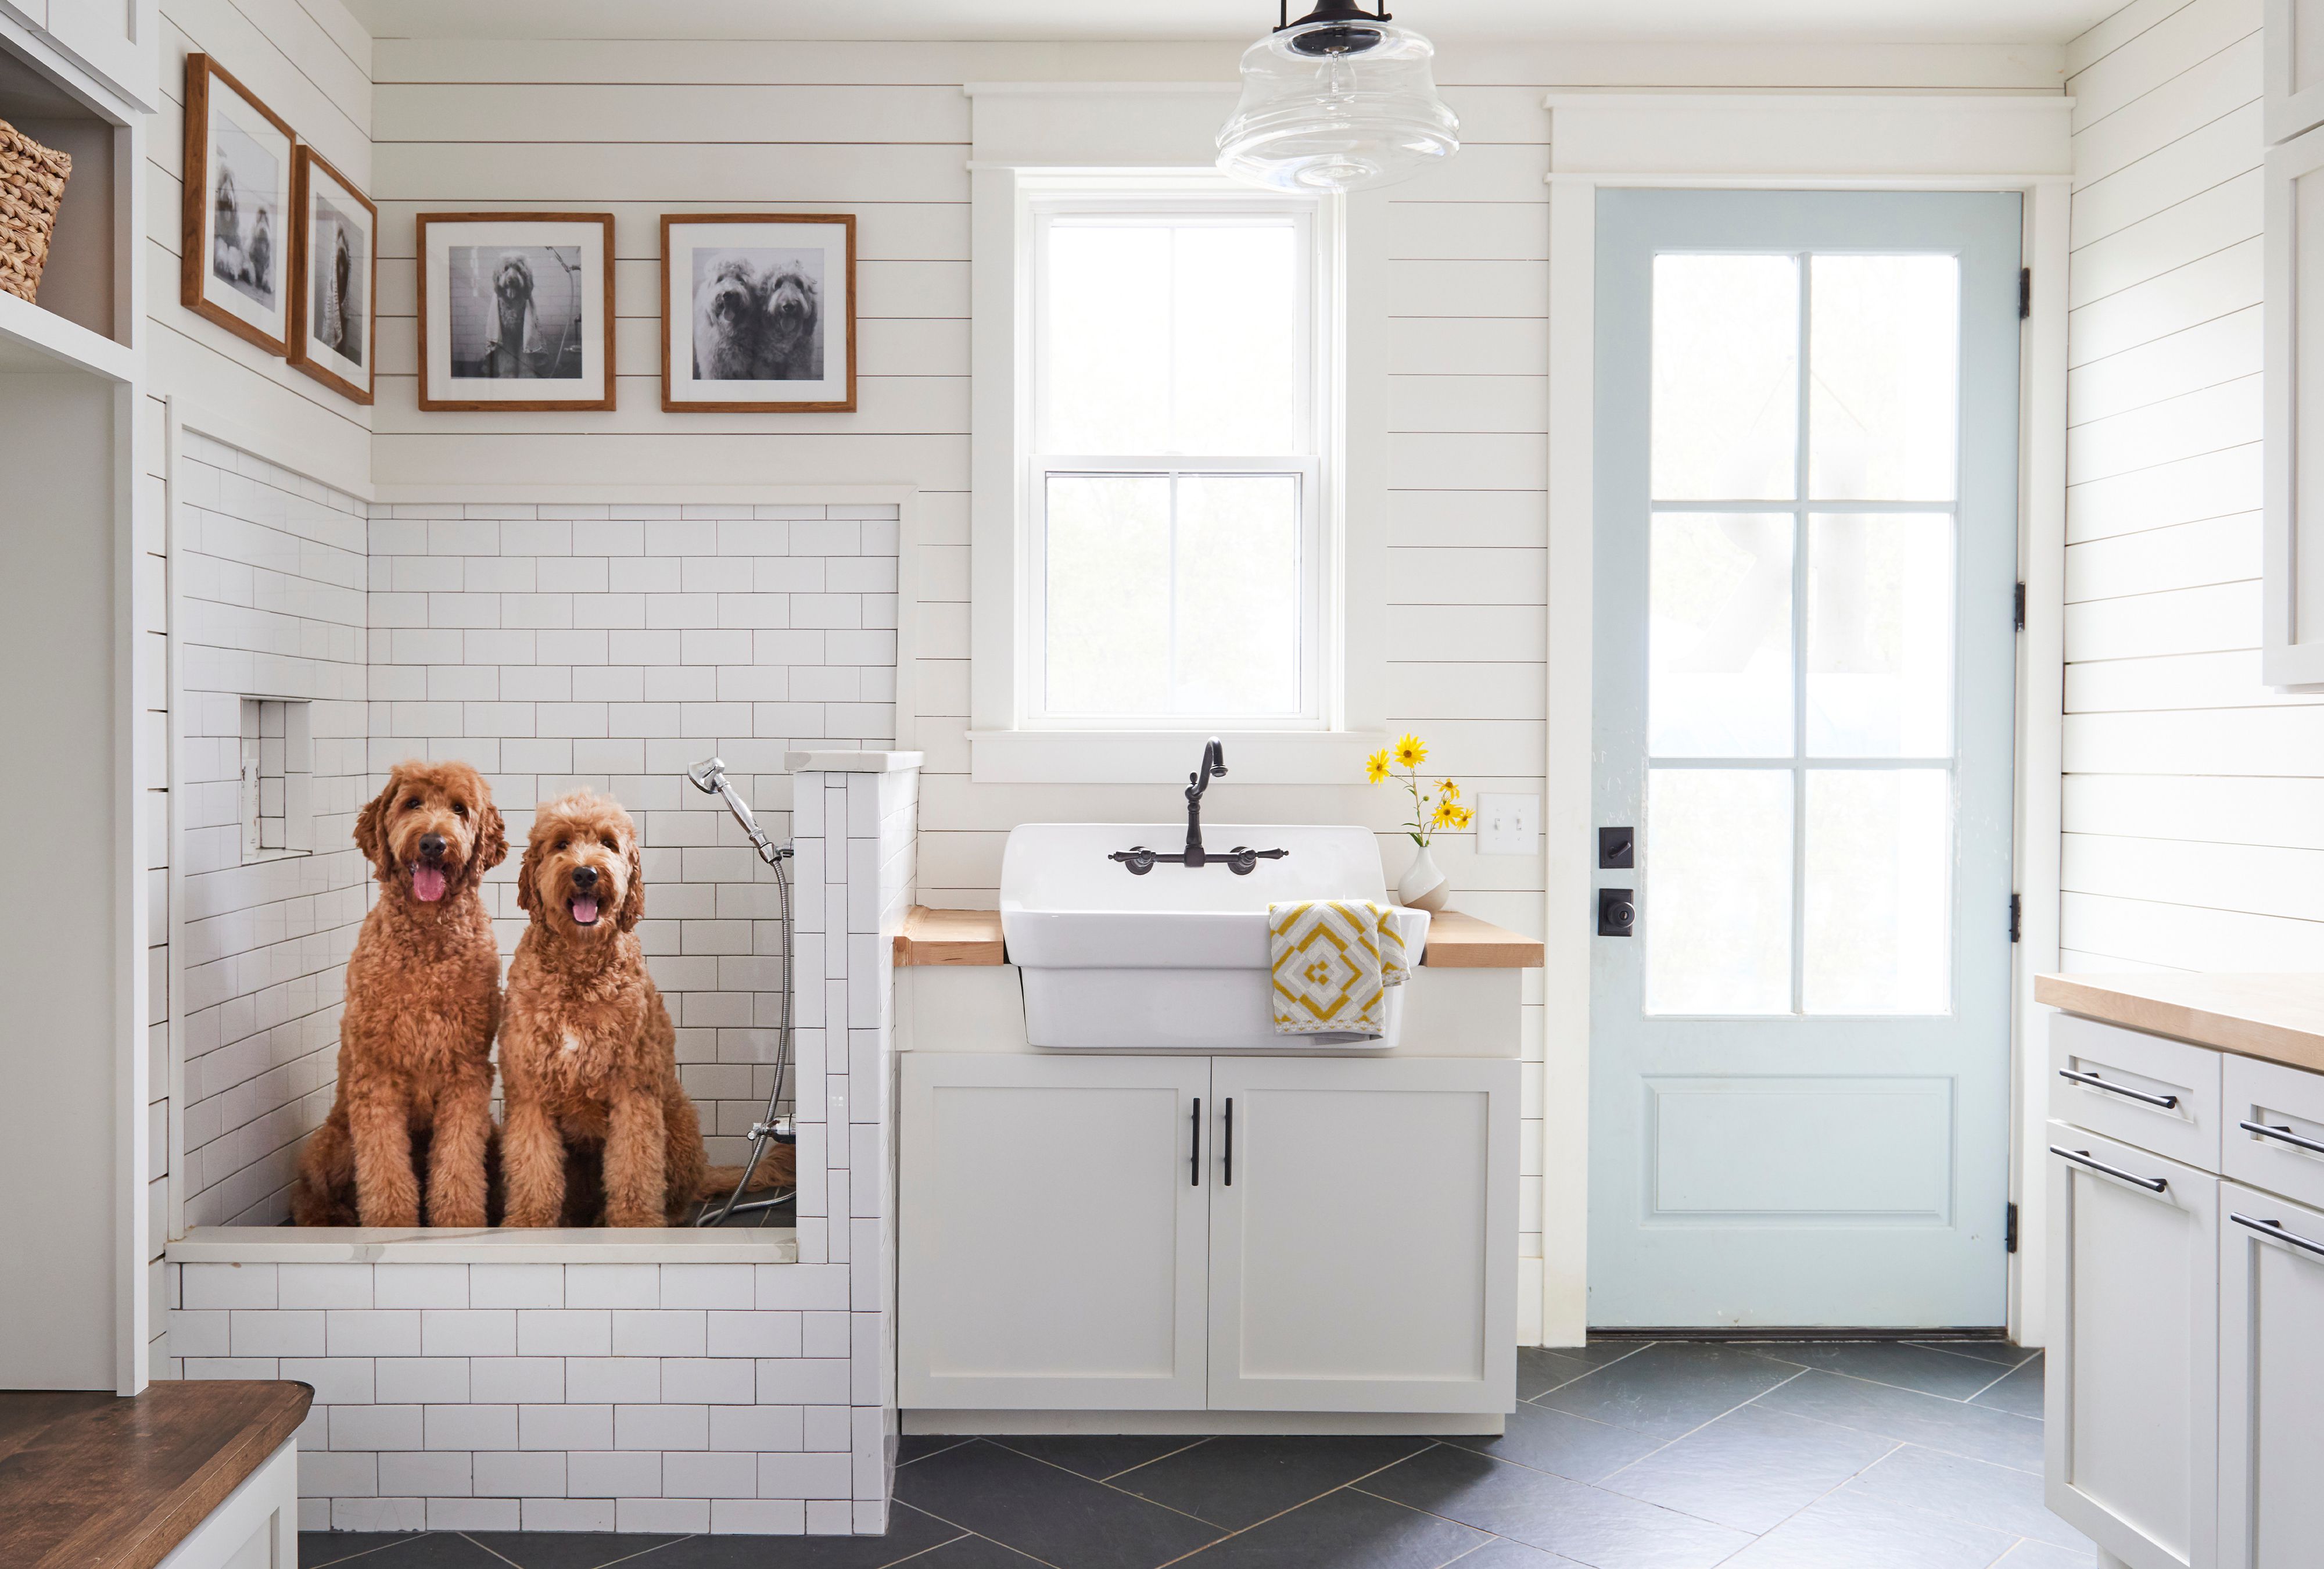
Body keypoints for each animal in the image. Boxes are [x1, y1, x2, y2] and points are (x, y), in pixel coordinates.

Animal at [289, 762, 504, 1227]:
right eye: (412, 803)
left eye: (459, 809)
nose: (433, 843)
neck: (427, 938)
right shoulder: (376, 1073)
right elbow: (384, 1164)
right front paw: (390, 1223)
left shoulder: (466, 1073)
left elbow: (458, 1161)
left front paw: (458, 1221)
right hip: (332, 1143)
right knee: (310, 1192)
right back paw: (329, 1217)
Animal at [500, 800, 790, 1227]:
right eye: (561, 844)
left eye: (608, 843)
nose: (585, 873)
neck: (579, 970)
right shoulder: (530, 1091)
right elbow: (534, 1168)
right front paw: (530, 1224)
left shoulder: (633, 1090)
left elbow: (634, 1166)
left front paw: (635, 1224)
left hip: (678, 1121)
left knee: (675, 1199)